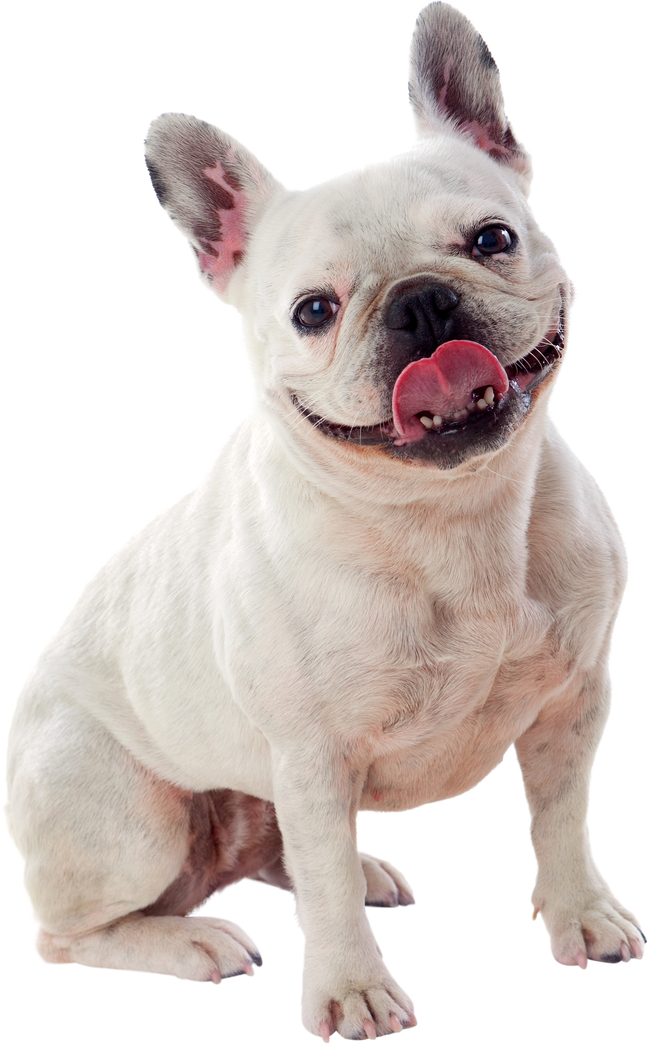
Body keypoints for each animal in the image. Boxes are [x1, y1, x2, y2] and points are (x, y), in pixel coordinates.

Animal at [3, 4, 646, 1039]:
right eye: (314, 310)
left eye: (492, 239)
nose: (421, 302)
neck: (449, 515)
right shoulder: (313, 757)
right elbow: (328, 891)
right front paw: (350, 990)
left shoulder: (570, 703)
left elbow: (559, 818)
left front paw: (581, 914)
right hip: (132, 819)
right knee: (74, 932)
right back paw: (192, 942)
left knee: (295, 859)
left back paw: (361, 869)